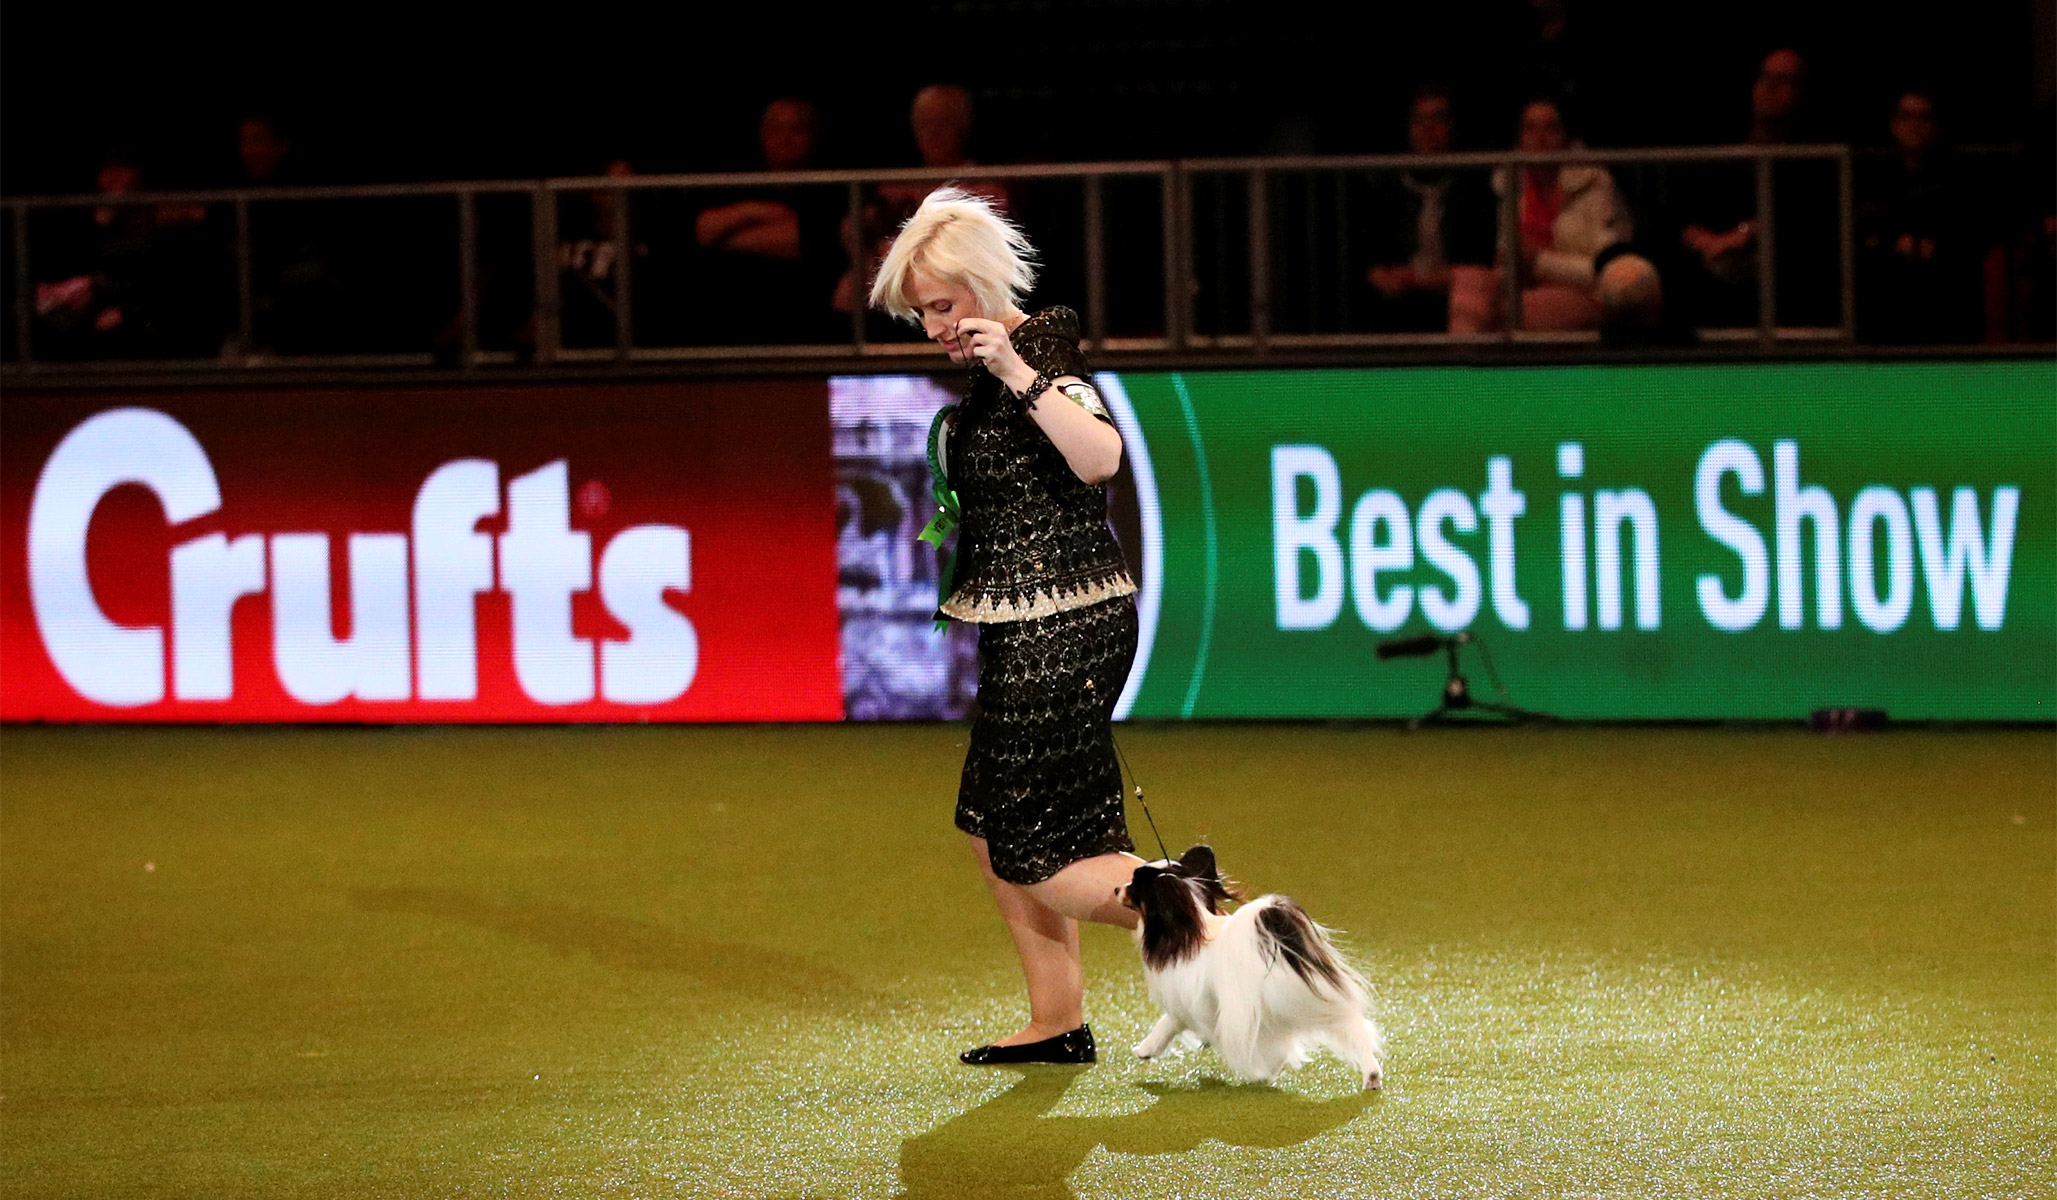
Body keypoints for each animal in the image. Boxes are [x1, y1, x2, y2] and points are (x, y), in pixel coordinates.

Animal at [1119, 843, 1390, 1086]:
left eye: (1134, 885)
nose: (1116, 889)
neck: (1191, 925)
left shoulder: (1186, 1003)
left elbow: (1167, 1023)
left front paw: (1146, 1050)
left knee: (1279, 1051)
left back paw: (1262, 1076)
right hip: (1321, 999)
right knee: (1352, 1031)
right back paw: (1371, 1076)